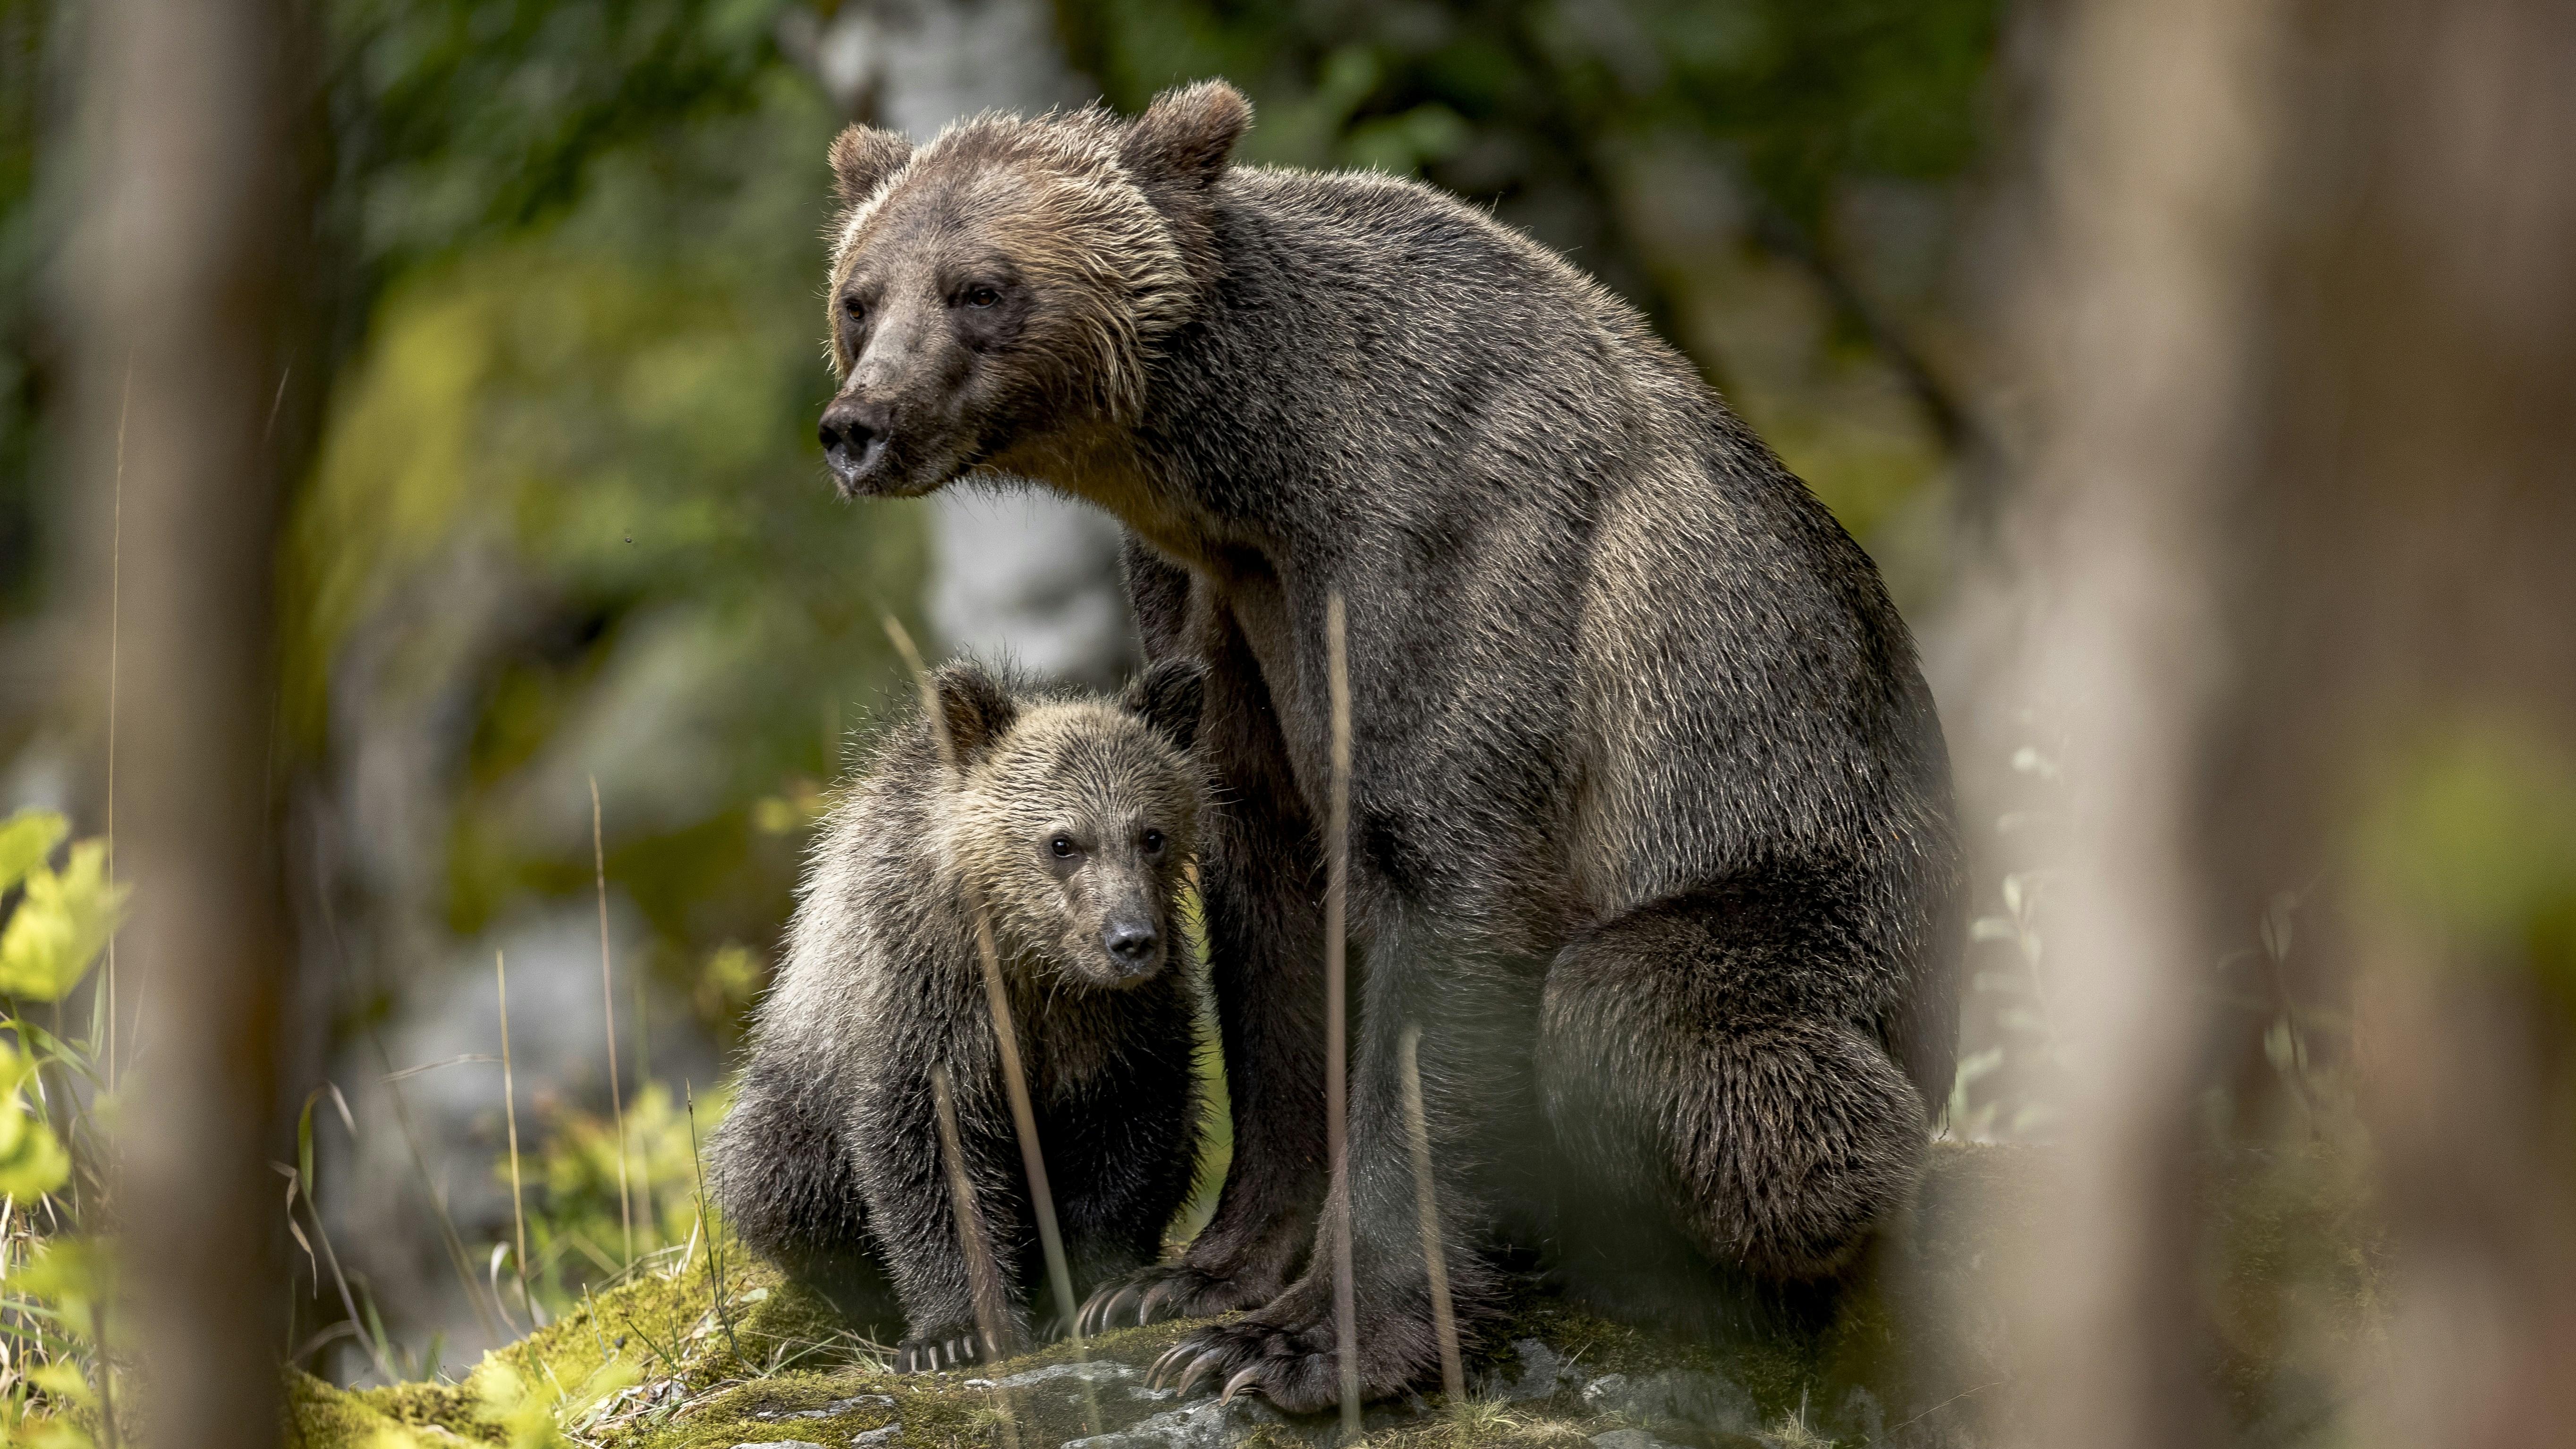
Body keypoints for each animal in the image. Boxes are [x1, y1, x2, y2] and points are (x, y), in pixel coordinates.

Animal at [709, 656, 1211, 1372]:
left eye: (1152, 835)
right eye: (1063, 842)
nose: (1131, 939)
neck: (1032, 967)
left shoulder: (1124, 1028)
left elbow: (1125, 1144)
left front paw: (1095, 1294)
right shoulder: (930, 1012)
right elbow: (931, 1163)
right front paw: (955, 1333)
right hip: (793, 1109)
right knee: (776, 1184)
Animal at [805, 81, 1965, 1409]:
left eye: (979, 287)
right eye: (860, 295)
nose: (858, 426)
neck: (1254, 478)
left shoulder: (1437, 557)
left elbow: (1445, 890)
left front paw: (1301, 1343)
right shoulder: (1213, 610)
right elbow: (1273, 912)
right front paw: (1189, 1281)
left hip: (1829, 906)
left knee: (1642, 1017)